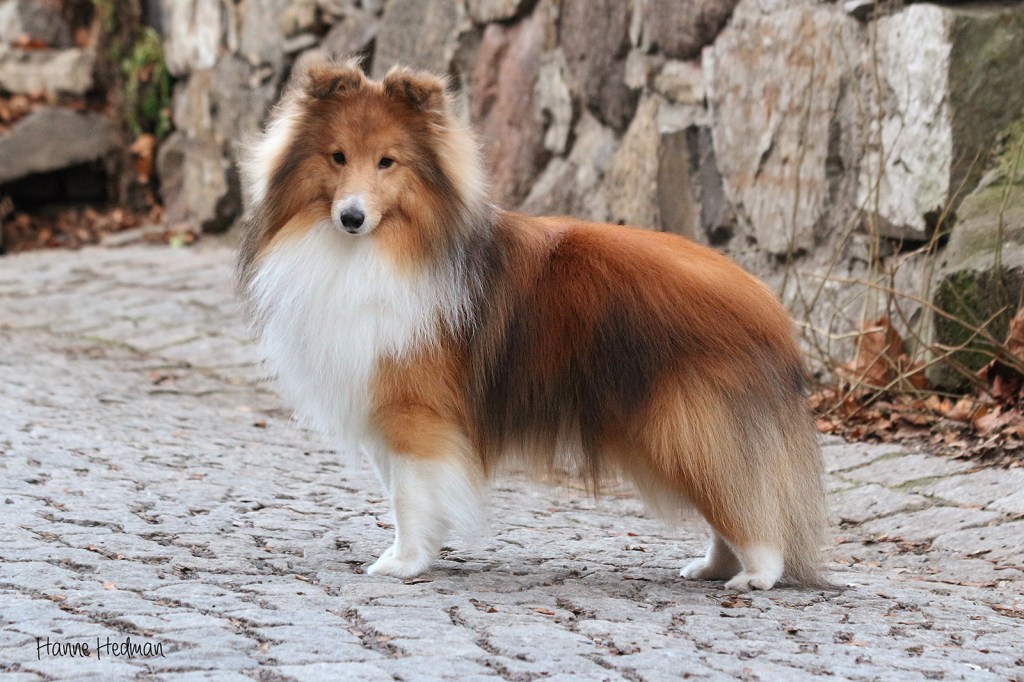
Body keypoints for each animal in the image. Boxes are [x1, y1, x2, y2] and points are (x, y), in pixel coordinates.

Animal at [237, 60, 828, 591]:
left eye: (388, 162)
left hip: (686, 428)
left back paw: (756, 575)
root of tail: (770, 306)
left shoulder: (415, 412)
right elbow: (405, 492)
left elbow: (407, 494)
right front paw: (419, 554)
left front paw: (401, 565)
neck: (384, 248)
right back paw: (712, 569)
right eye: (337, 157)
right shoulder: (388, 409)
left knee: (746, 507)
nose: (351, 217)